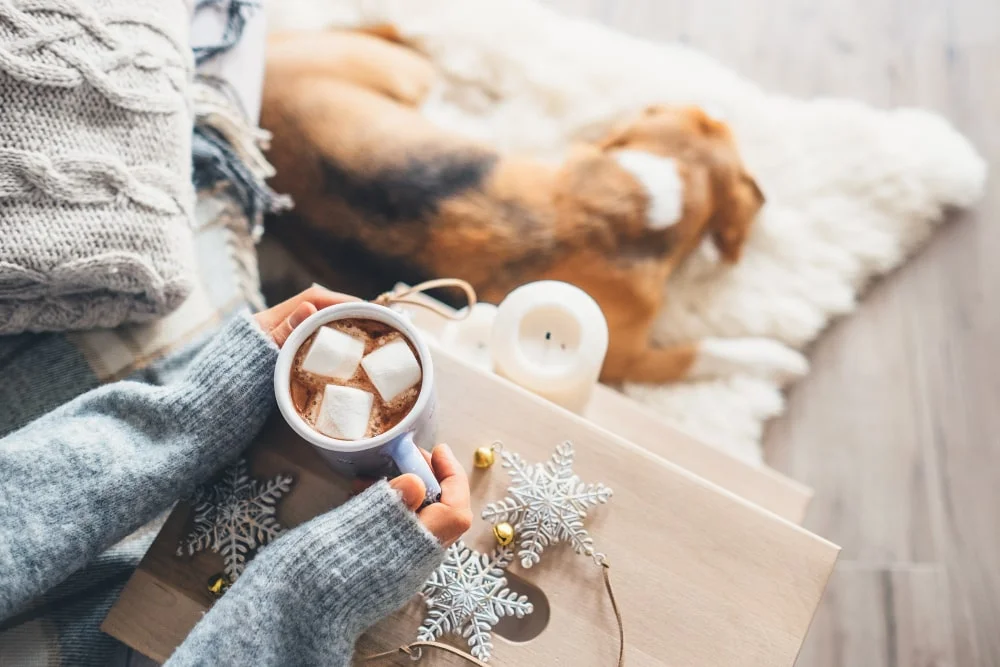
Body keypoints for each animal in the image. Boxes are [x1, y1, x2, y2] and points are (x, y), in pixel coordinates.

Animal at [260, 30, 804, 386]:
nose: (718, 107)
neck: (640, 205)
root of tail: (271, 60)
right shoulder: (625, 360)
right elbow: (703, 354)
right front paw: (776, 359)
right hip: (409, 74)